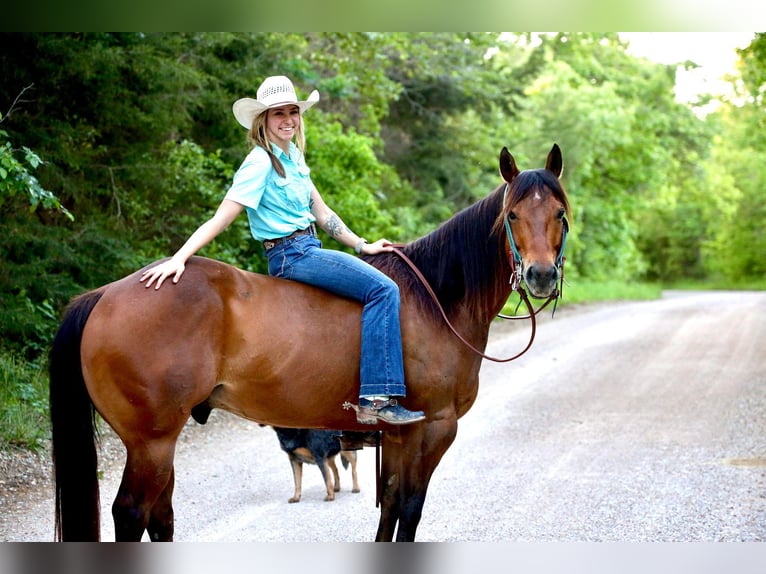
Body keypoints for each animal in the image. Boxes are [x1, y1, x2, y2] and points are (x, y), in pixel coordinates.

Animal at [49, 144, 568, 544]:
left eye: (559, 214)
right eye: (512, 215)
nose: (541, 275)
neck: (435, 297)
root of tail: (105, 295)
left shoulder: (400, 437)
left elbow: (390, 507)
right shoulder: (432, 428)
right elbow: (410, 510)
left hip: (159, 443)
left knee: (160, 518)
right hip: (151, 442)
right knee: (132, 514)